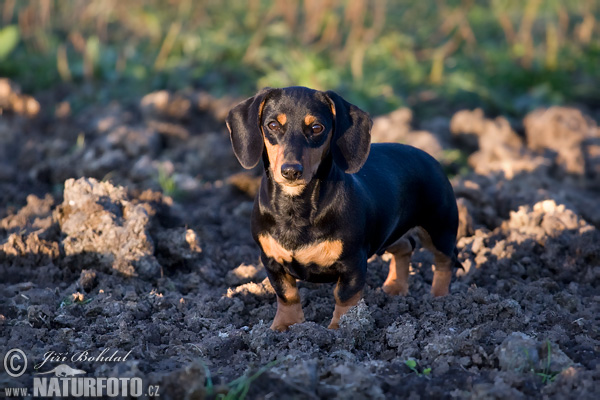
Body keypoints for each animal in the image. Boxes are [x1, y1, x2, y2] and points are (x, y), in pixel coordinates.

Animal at [225, 86, 460, 332]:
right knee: (406, 247)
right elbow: (287, 295)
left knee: (445, 261)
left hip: (439, 229)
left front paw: (342, 328)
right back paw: (395, 288)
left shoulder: (353, 263)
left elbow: (345, 297)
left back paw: (439, 299)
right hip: (389, 235)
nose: (291, 171)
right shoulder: (271, 261)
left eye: (316, 128)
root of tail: (430, 158)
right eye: (272, 125)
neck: (296, 208)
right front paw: (284, 326)